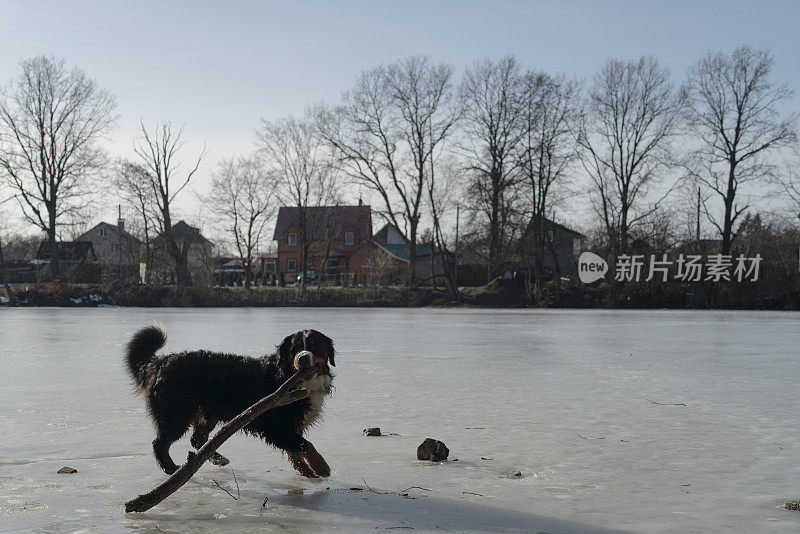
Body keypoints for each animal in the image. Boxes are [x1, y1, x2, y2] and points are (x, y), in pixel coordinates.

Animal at [124, 326, 334, 482]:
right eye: (294, 349)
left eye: (314, 346)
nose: (303, 358)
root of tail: (162, 361)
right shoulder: (276, 426)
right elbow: (305, 445)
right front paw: (321, 467)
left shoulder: (289, 426)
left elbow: (295, 450)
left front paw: (307, 471)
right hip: (176, 414)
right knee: (160, 443)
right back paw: (171, 469)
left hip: (208, 413)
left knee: (198, 439)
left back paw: (215, 458)